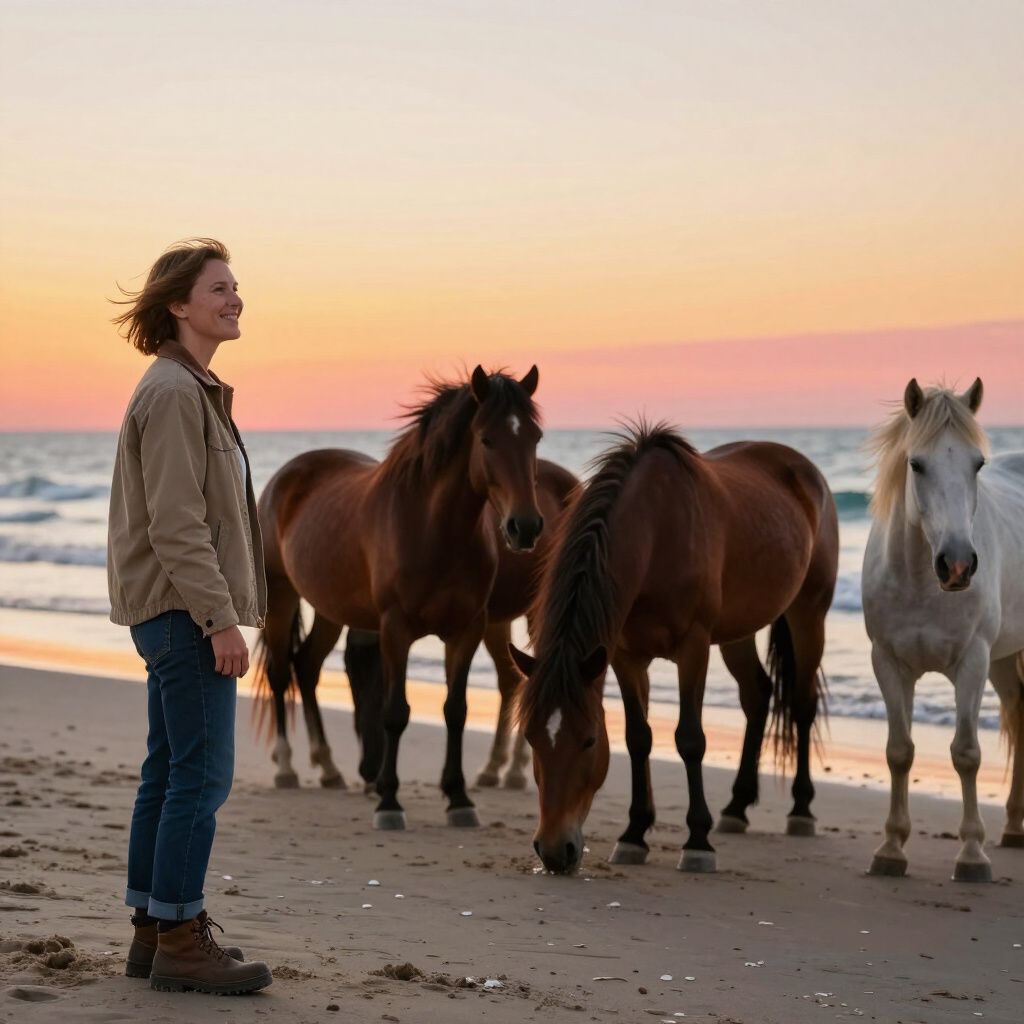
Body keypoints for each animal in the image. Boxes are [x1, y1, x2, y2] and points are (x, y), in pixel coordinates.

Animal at [254, 366, 543, 830]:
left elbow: (455, 710)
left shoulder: (467, 630)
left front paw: (459, 798)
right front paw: (388, 801)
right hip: (281, 596)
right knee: (282, 672)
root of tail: (288, 474)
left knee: (308, 667)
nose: (526, 526)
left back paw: (328, 767)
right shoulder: (395, 629)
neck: (433, 529)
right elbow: (394, 712)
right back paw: (286, 767)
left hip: (330, 609)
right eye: (487, 439)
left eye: (534, 437)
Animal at [340, 459, 580, 795]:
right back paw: (493, 769)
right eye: (349, 674)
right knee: (510, 680)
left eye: (379, 677)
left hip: (538, 611)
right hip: (498, 621)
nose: (368, 769)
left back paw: (515, 773)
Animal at [512, 423, 838, 875]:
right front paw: (634, 834)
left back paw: (801, 810)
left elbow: (689, 738)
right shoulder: (625, 656)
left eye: (590, 741)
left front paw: (698, 842)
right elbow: (638, 737)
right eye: (530, 736)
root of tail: (807, 470)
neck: (655, 533)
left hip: (809, 613)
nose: (556, 852)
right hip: (737, 631)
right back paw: (736, 807)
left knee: (803, 705)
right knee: (757, 696)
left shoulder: (694, 647)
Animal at [863, 378, 1024, 883]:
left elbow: (966, 752)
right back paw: (1014, 827)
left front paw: (972, 855)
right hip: (1004, 660)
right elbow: (899, 751)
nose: (957, 565)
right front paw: (890, 849)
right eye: (916, 464)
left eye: (978, 464)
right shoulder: (889, 662)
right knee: (1019, 713)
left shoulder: (972, 660)